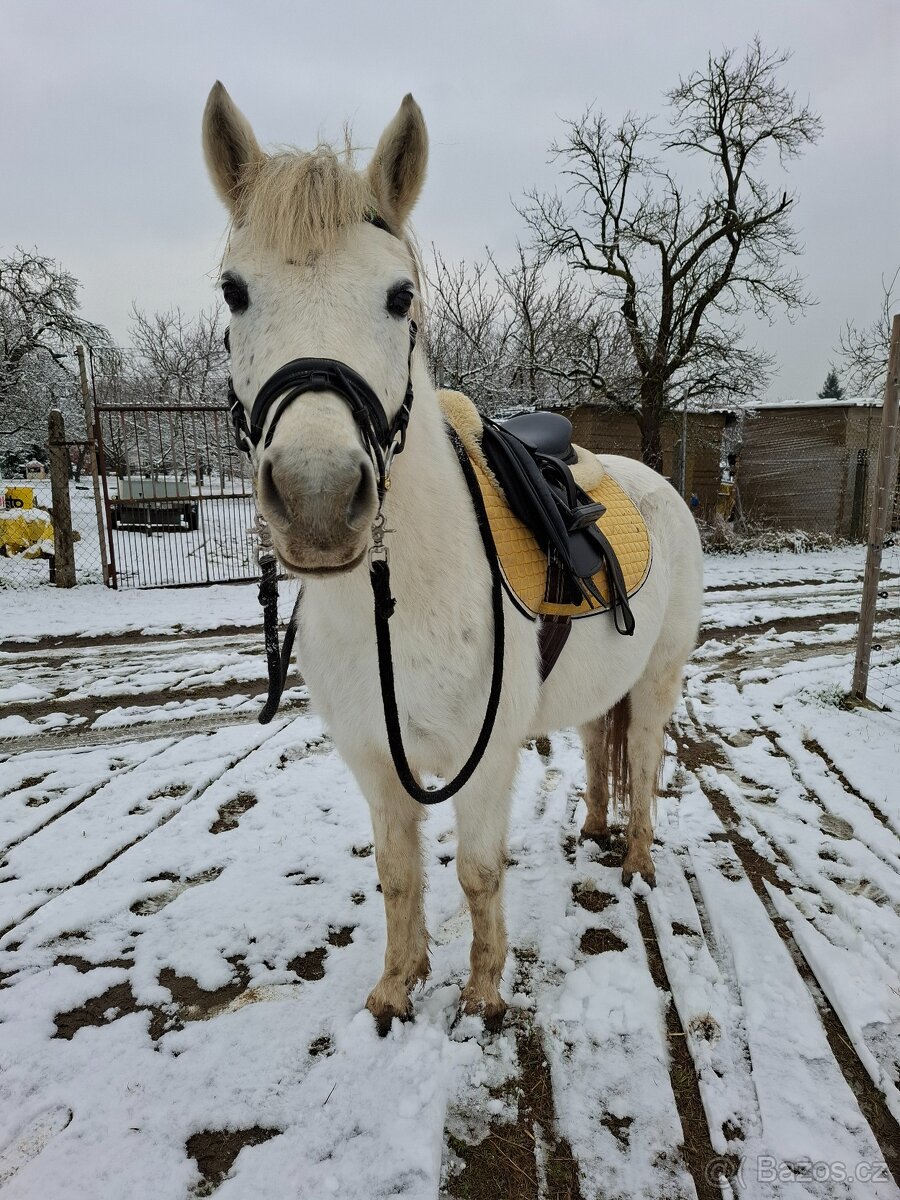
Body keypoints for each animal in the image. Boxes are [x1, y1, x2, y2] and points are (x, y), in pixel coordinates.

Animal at [201, 83, 704, 1033]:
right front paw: (396, 989)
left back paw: (637, 864)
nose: (320, 500)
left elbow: (475, 875)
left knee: (646, 757)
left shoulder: (487, 762)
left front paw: (483, 995)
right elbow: (398, 877)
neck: (401, 603)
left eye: (400, 296)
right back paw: (592, 830)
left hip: (659, 678)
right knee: (599, 743)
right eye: (234, 290)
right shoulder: (374, 761)